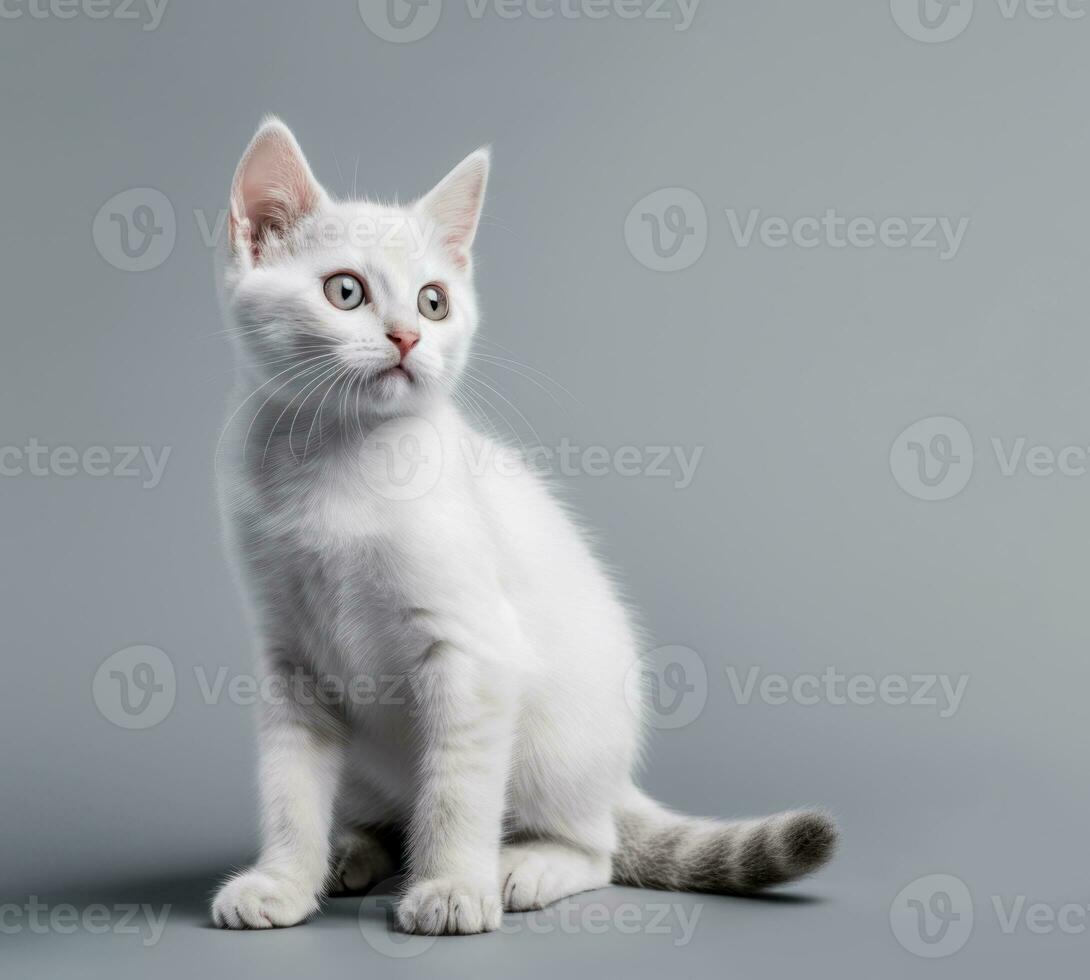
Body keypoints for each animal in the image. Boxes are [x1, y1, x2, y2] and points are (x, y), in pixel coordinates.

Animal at [210, 118, 832, 933]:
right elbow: (289, 787)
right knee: (388, 813)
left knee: (596, 848)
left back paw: (524, 866)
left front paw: (452, 887)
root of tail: (615, 779)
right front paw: (283, 880)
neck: (337, 466)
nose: (408, 337)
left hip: (553, 748)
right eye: (345, 291)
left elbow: (457, 790)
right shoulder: (291, 661)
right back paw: (355, 853)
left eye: (434, 302)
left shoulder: (474, 652)